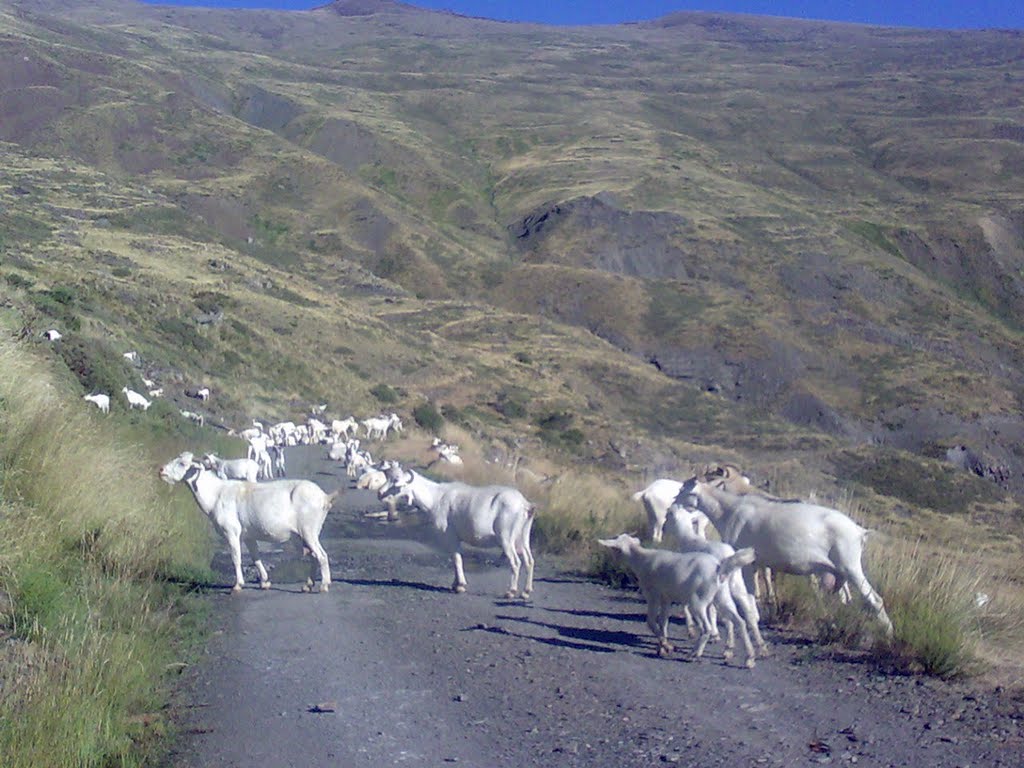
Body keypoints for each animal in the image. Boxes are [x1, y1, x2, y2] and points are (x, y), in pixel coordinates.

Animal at [159, 454, 335, 593]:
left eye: (182, 463)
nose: (161, 470)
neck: (216, 494)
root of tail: (324, 497)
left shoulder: (231, 532)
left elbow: (236, 557)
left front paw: (238, 585)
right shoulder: (248, 536)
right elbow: (255, 557)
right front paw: (265, 582)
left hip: (309, 531)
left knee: (322, 555)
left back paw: (324, 585)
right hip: (302, 536)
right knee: (313, 556)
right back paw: (307, 585)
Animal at [378, 462, 536, 602]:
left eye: (396, 480)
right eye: (388, 477)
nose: (380, 493)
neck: (436, 497)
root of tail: (525, 505)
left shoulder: (450, 536)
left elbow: (456, 558)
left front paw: (460, 586)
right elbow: (457, 557)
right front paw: (455, 585)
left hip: (506, 538)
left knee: (516, 562)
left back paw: (511, 592)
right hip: (522, 538)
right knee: (529, 561)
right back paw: (526, 592)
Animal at [598, 536, 757, 667]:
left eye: (615, 549)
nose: (612, 560)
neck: (642, 559)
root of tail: (718, 569)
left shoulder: (653, 595)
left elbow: (651, 621)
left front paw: (667, 646)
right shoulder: (666, 598)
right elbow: (663, 622)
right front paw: (662, 647)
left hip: (698, 602)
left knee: (707, 629)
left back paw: (694, 654)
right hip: (722, 597)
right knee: (740, 622)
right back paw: (749, 658)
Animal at [675, 481, 892, 638]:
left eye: (683, 490)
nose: (674, 502)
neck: (729, 510)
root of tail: (860, 531)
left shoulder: (745, 562)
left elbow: (748, 592)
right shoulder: (756, 563)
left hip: (851, 567)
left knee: (875, 599)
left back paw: (888, 633)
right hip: (839, 574)